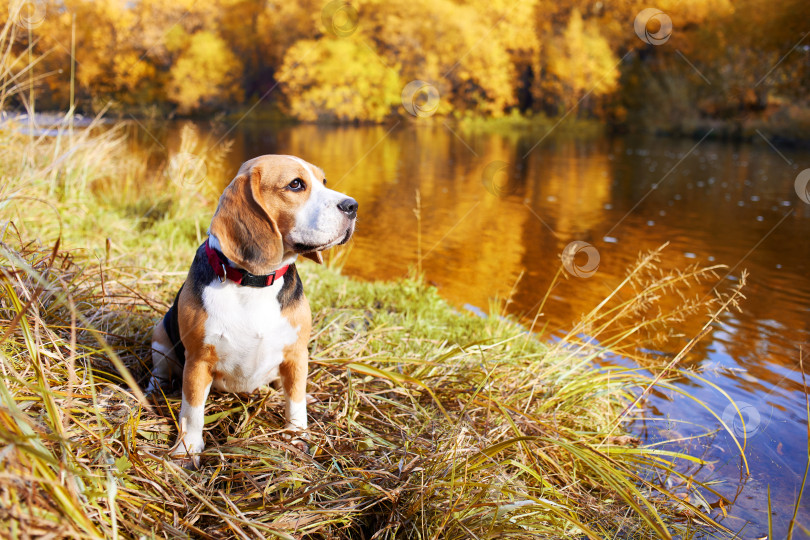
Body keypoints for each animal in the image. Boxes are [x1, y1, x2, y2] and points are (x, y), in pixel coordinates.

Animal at [148, 154, 356, 466]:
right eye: (296, 184)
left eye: (324, 181)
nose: (353, 206)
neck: (254, 282)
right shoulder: (198, 360)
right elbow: (192, 410)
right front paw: (186, 450)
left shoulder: (297, 353)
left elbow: (295, 402)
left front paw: (296, 436)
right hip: (160, 333)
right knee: (160, 370)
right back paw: (154, 388)